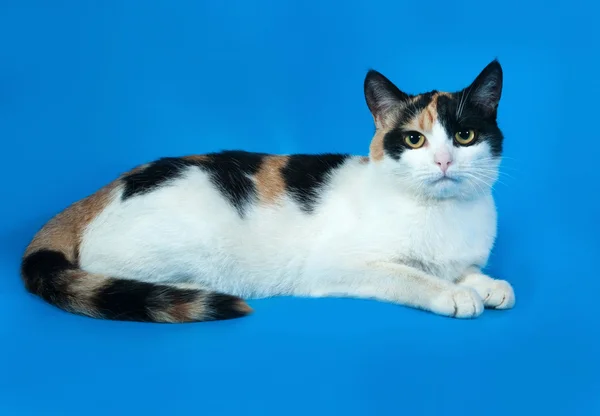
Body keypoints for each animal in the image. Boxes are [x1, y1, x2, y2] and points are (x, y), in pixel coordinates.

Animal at [19, 60, 516, 324]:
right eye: (414, 140)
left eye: (465, 136)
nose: (444, 161)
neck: (442, 213)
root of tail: (101, 193)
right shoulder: (338, 266)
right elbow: (410, 275)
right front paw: (453, 294)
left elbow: (464, 270)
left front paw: (488, 285)